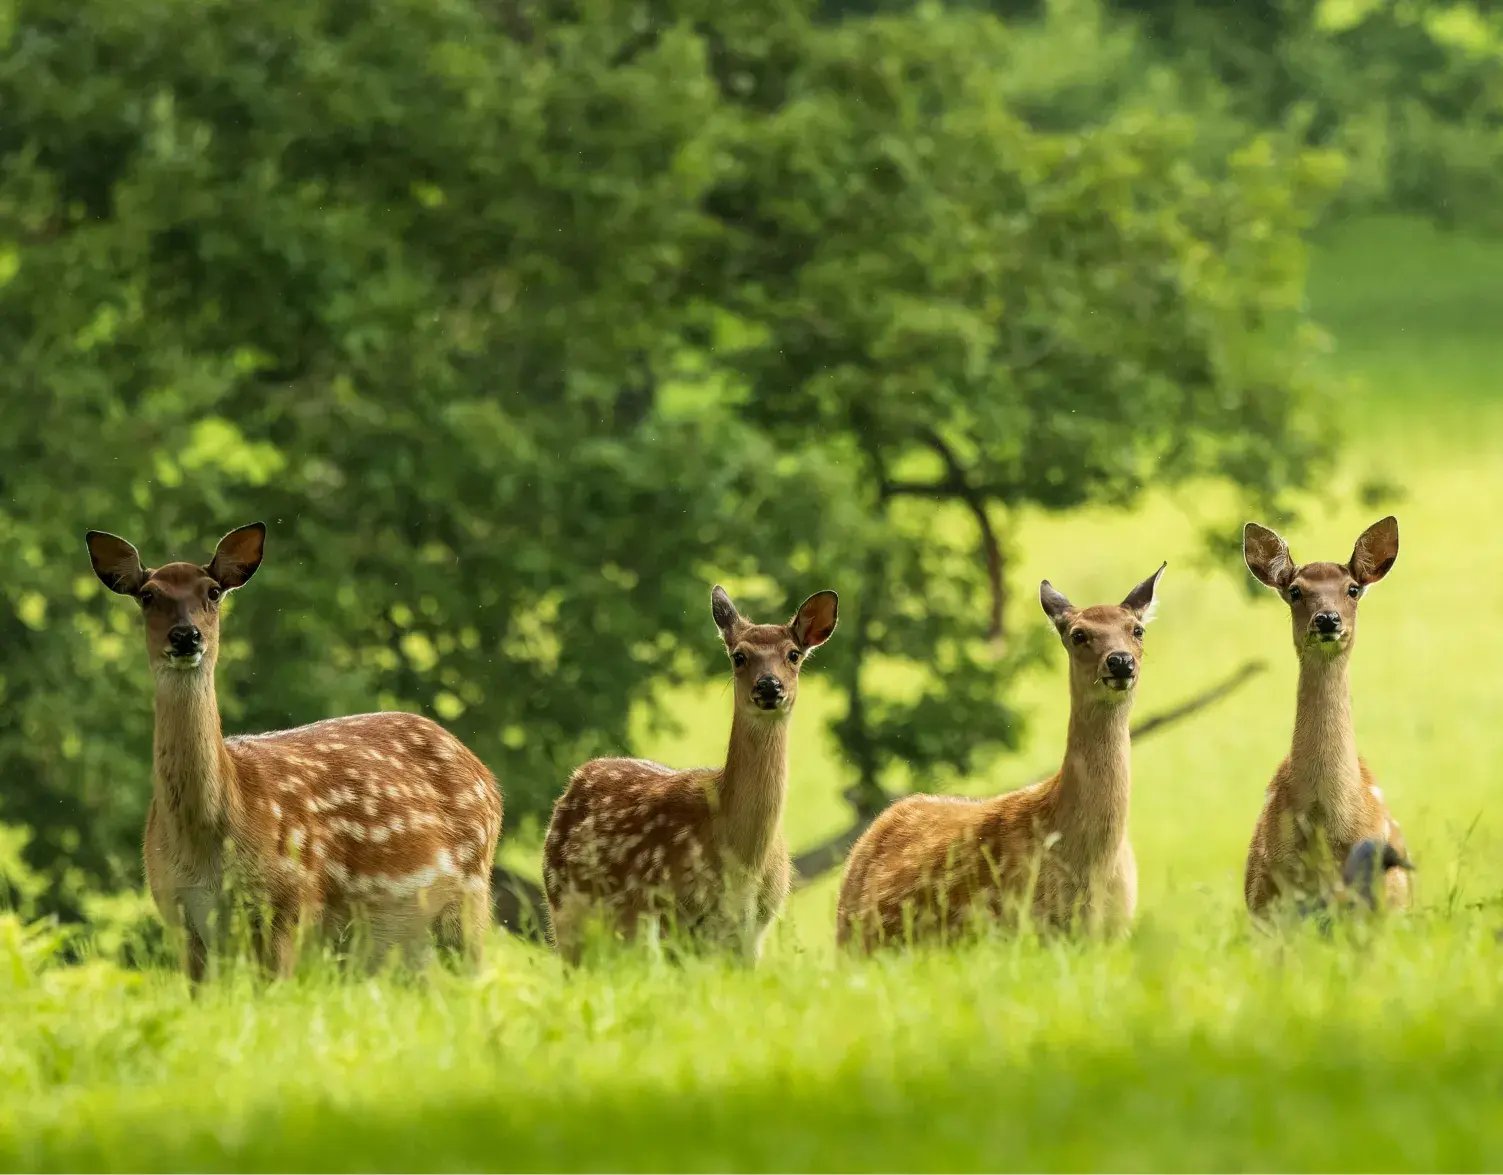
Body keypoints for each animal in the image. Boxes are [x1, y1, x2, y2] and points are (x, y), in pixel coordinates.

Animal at [85, 522, 503, 981]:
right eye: (147, 595)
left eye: (213, 591)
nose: (185, 635)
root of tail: (485, 774)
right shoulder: (180, 916)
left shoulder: (288, 903)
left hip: (470, 897)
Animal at [542, 585, 838, 965]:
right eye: (739, 656)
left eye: (794, 654)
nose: (769, 686)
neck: (743, 863)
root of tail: (576, 779)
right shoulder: (673, 914)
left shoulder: (753, 931)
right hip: (566, 909)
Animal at [836, 565, 1165, 952]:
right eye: (1078, 634)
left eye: (1137, 630)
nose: (1120, 661)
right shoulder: (1020, 929)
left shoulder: (1112, 934)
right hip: (856, 945)